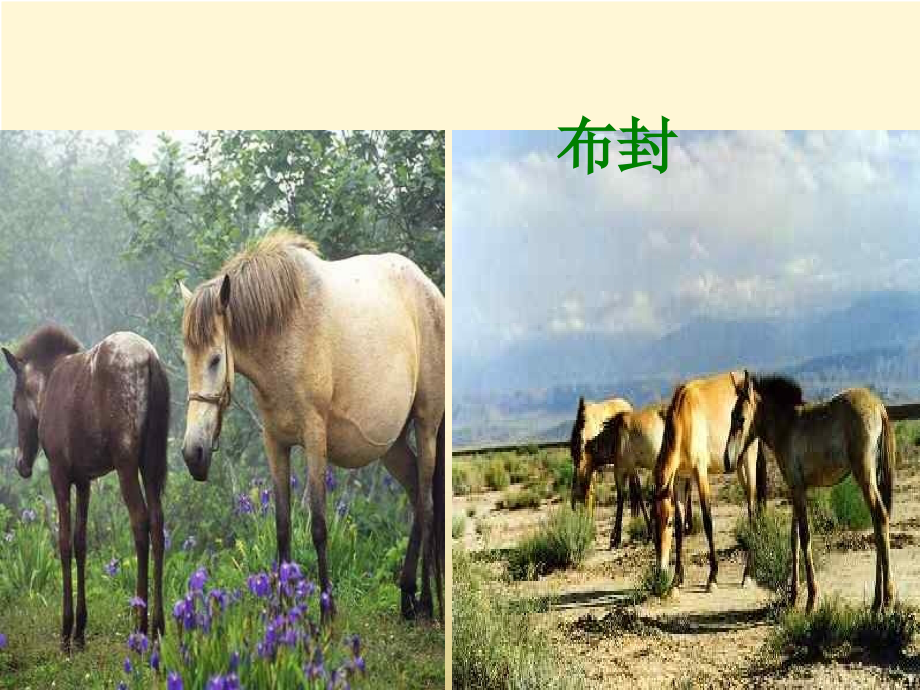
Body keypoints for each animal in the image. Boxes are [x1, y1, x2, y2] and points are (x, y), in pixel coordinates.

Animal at [2, 325, 169, 651]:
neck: (47, 387)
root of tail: (150, 360)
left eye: (15, 405)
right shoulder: (84, 480)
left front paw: (66, 632)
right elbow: (82, 543)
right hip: (151, 464)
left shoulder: (59, 474)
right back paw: (159, 625)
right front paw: (80, 630)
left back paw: (140, 625)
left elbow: (65, 543)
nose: (22, 463)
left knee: (140, 522)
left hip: (127, 464)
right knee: (157, 524)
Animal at [177, 230, 445, 621]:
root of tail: (432, 292)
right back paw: (408, 596)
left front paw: (326, 612)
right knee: (415, 495)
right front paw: (283, 611)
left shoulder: (315, 439)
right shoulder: (275, 442)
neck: (284, 328)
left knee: (426, 505)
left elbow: (318, 526)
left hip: (426, 426)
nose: (192, 452)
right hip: (391, 443)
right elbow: (282, 526)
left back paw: (427, 602)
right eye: (186, 360)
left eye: (215, 359)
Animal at [653, 370, 768, 591]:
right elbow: (681, 524)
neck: (684, 415)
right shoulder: (680, 478)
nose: (660, 572)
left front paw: (712, 577)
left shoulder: (700, 472)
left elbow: (707, 520)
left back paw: (747, 574)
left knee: (751, 509)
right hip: (738, 466)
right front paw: (677, 578)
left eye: (667, 522)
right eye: (654, 521)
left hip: (749, 460)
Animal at [724, 371, 895, 612]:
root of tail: (879, 407)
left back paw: (887, 600)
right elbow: (793, 538)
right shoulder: (796, 489)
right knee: (879, 524)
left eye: (740, 418)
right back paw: (876, 602)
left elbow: (804, 537)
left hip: (865, 476)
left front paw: (811, 599)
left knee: (880, 517)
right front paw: (793, 596)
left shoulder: (797, 488)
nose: (727, 460)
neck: (786, 424)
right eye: (731, 415)